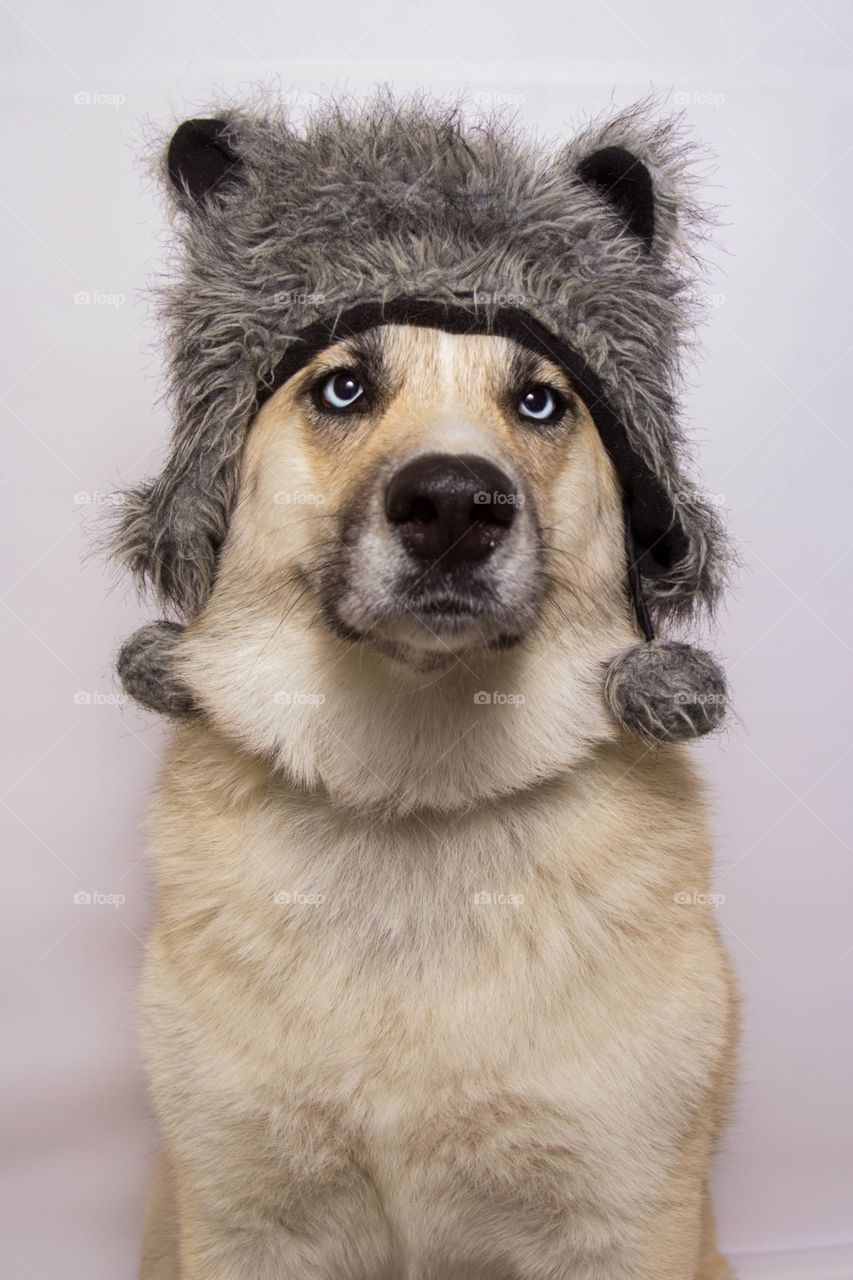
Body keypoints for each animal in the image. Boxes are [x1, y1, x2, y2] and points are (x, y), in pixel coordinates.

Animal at [136, 317, 732, 1269]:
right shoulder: (244, 1223)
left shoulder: (621, 1225)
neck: (413, 790)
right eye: (342, 389)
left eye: (540, 401)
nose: (454, 506)